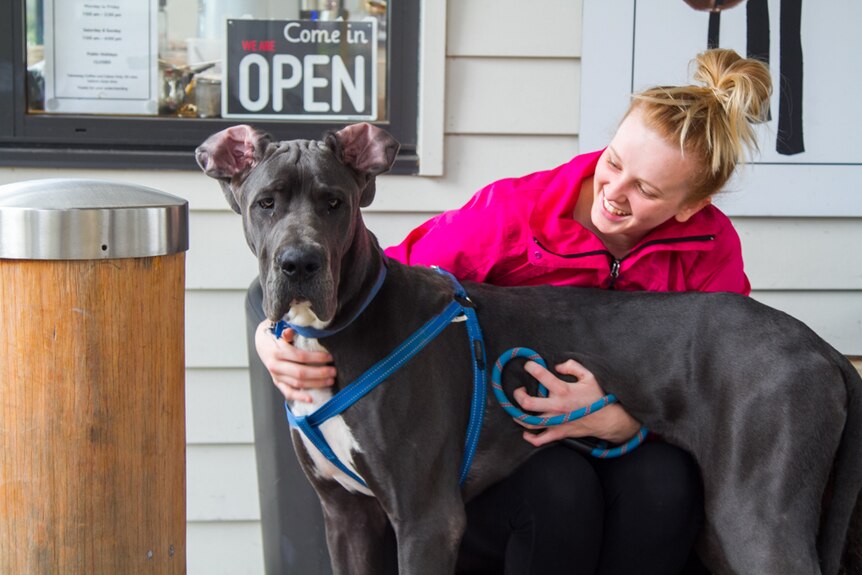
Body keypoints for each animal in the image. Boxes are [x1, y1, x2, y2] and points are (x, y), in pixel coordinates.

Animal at [199, 124, 862, 572]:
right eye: (265, 203)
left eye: (334, 202)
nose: (299, 263)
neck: (349, 323)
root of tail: (820, 346)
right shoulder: (346, 518)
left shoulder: (427, 519)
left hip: (757, 517)